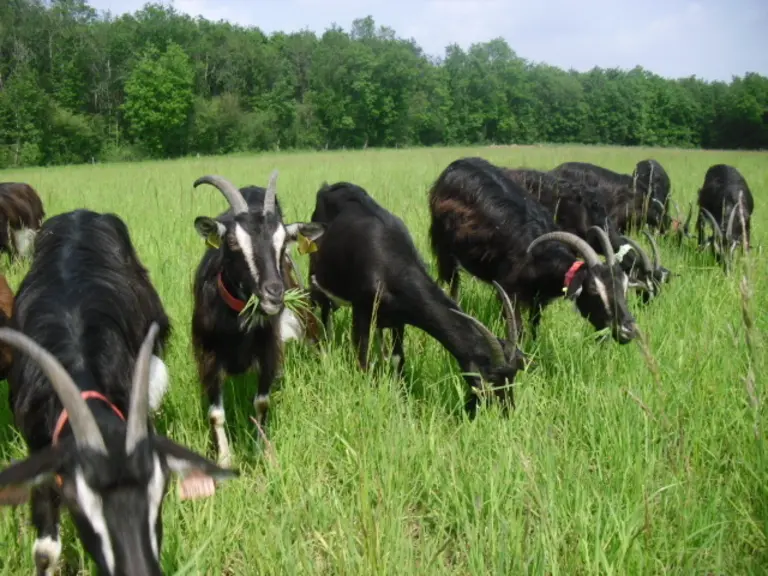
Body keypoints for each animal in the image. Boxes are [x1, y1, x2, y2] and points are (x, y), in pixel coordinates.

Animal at [191, 172, 324, 467]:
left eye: (283, 243)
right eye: (232, 242)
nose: (273, 293)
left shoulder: (269, 351)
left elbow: (261, 402)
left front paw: (264, 454)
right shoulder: (208, 356)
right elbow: (215, 413)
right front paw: (224, 459)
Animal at [308, 181, 525, 416]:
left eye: (513, 375)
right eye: (492, 377)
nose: (508, 411)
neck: (389, 265)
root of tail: (327, 188)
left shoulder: (399, 318)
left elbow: (397, 359)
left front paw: (400, 396)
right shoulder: (362, 310)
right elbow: (363, 357)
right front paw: (367, 393)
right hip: (315, 277)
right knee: (320, 311)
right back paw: (320, 354)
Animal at [428, 157, 638, 344]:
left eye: (624, 287)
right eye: (594, 289)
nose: (628, 331)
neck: (537, 255)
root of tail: (454, 165)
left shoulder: (539, 298)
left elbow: (534, 325)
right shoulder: (507, 291)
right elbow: (518, 330)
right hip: (443, 247)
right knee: (451, 281)